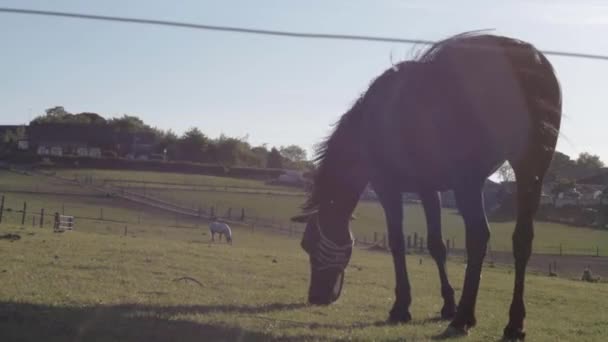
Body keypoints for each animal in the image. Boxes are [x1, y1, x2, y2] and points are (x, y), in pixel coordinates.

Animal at [290, 31, 560, 340]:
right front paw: (447, 305)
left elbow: (397, 242)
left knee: (478, 236)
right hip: (530, 171)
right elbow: (436, 245)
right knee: (522, 240)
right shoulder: (429, 189)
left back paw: (464, 318)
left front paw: (401, 307)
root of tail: (522, 57)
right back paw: (513, 323)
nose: (315, 297)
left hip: (469, 179)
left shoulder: (387, 186)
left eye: (308, 244)